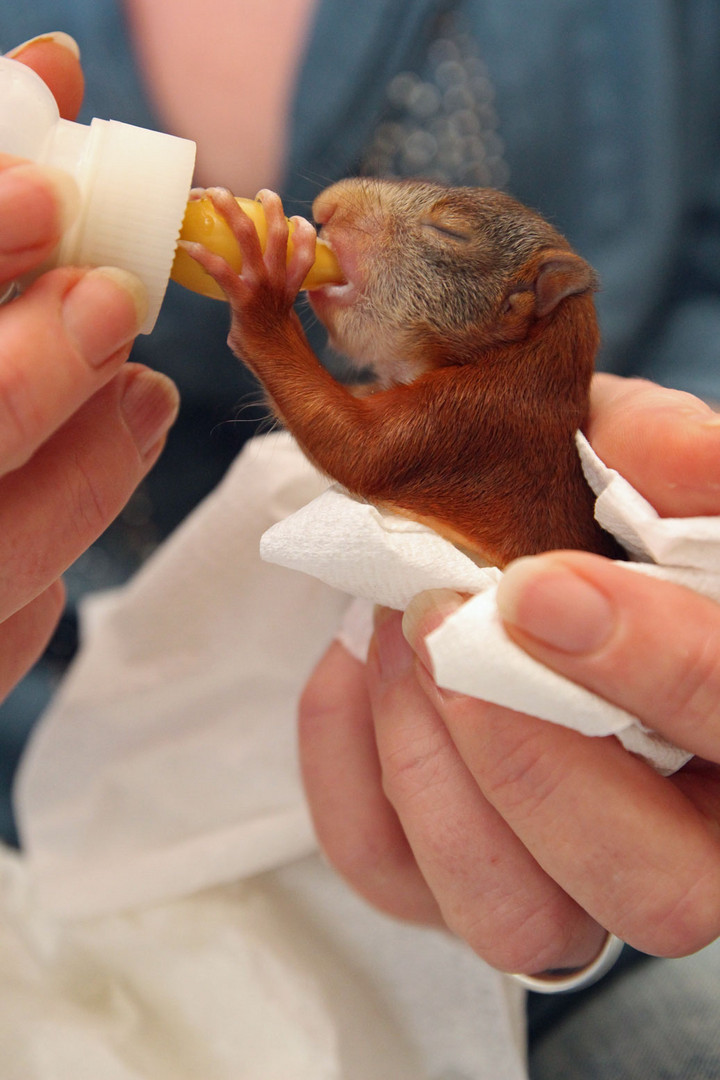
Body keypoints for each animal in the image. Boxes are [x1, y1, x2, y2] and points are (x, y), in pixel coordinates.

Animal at [188, 179, 621, 565]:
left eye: (449, 230)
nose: (326, 205)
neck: (525, 355)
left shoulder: (475, 420)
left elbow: (360, 448)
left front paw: (263, 290)